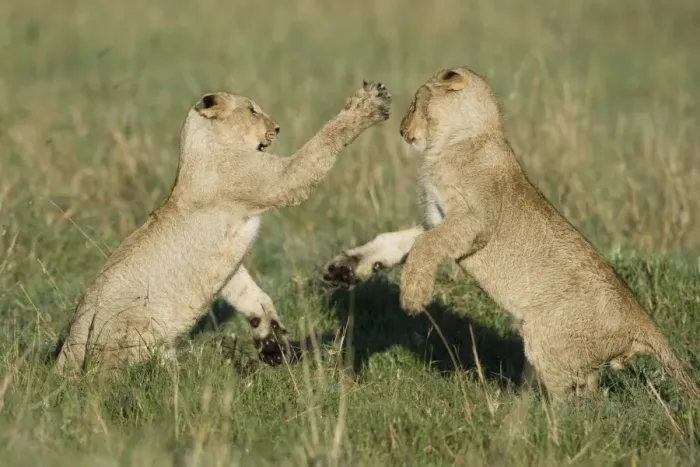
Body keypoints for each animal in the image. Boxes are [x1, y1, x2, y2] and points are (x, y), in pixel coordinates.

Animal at [54, 80, 392, 376]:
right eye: (252, 110)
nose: (277, 127)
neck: (204, 146)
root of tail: (71, 337)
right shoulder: (274, 180)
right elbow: (319, 145)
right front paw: (368, 104)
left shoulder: (229, 261)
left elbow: (250, 293)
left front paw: (273, 345)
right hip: (127, 336)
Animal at [323, 67, 700, 401]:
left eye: (417, 101)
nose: (402, 130)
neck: (463, 138)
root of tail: (640, 319)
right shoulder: (437, 219)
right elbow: (399, 241)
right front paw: (346, 267)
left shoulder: (474, 221)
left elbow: (426, 245)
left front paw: (412, 296)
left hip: (547, 338)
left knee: (577, 402)